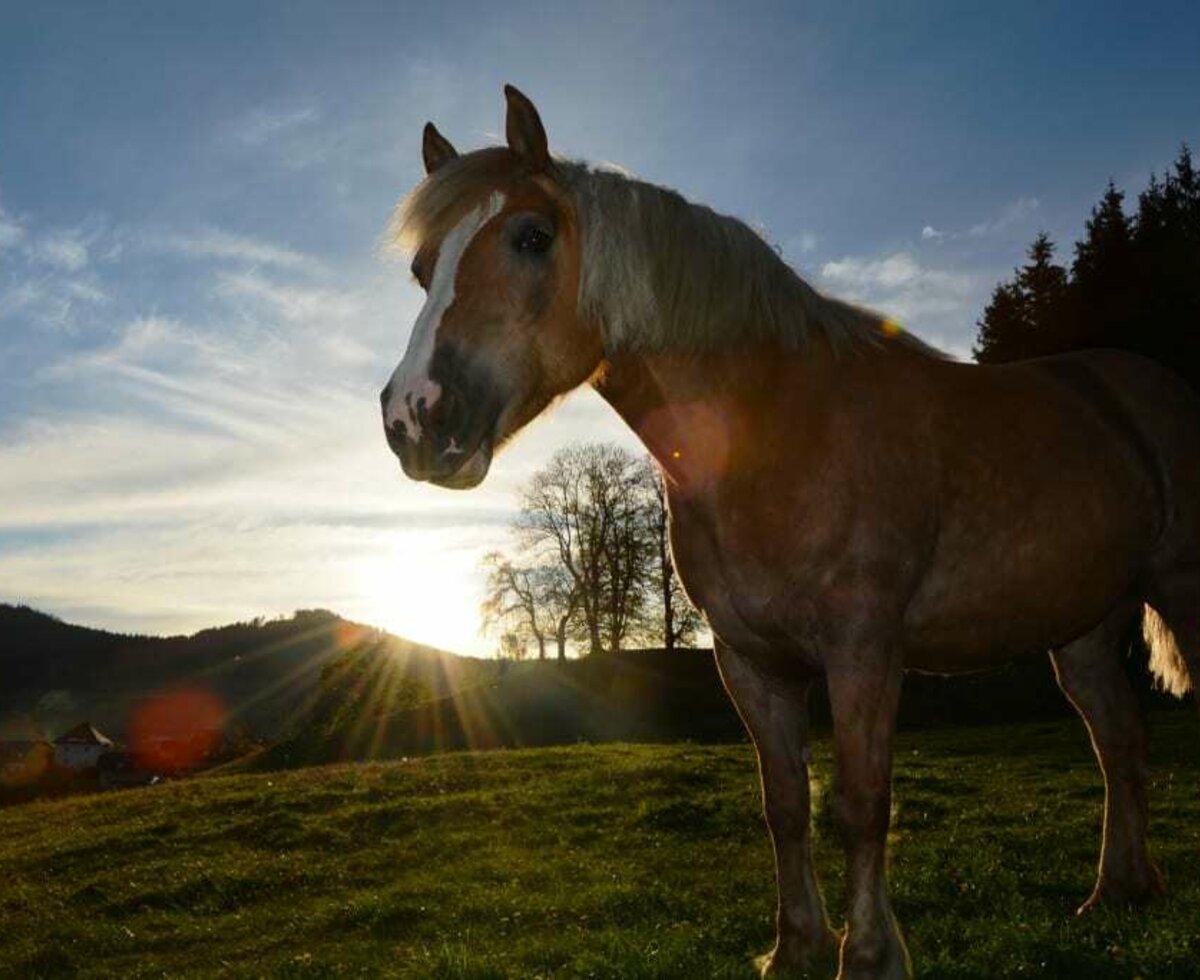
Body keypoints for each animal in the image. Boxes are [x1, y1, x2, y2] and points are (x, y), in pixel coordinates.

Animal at [379, 85, 1200, 978]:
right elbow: (783, 806)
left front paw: (868, 953)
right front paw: (796, 947)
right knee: (1118, 742)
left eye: (532, 236)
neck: (778, 429)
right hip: (1083, 630)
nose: (414, 418)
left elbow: (861, 803)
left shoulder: (864, 650)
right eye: (422, 271)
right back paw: (1119, 890)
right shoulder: (752, 662)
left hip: (1180, 590)